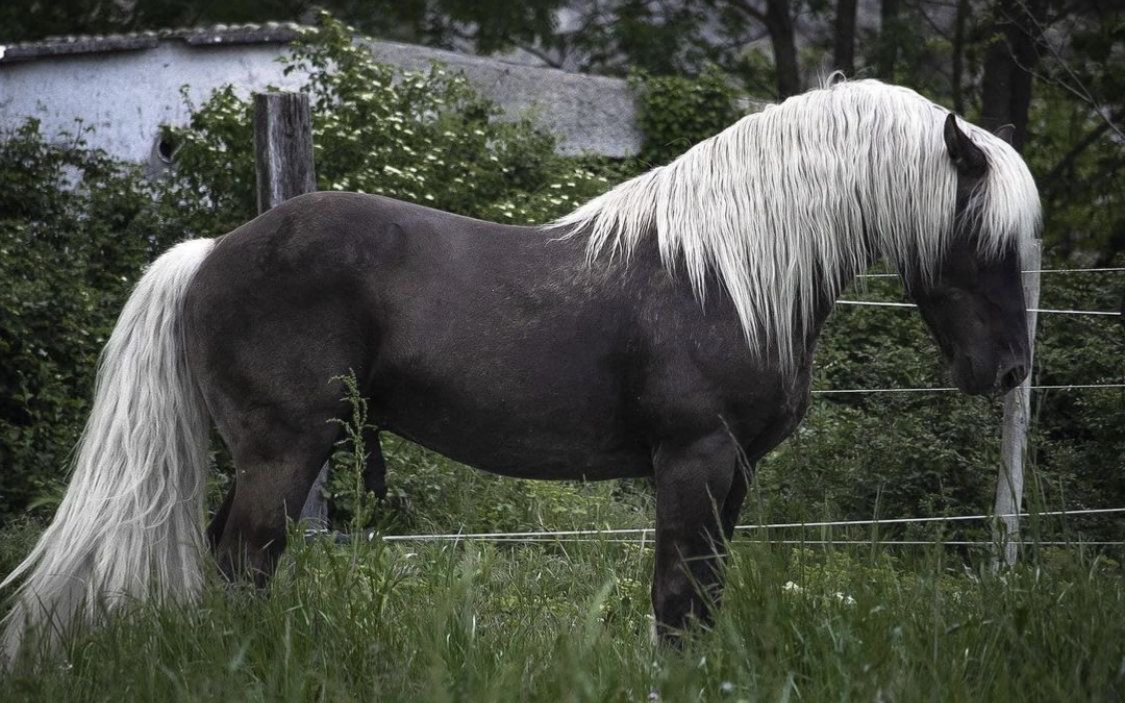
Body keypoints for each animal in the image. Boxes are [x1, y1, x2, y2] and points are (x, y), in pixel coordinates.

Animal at [0, 79, 1041, 660]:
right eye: (983, 236)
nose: (1006, 373)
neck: (726, 272)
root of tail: (210, 251)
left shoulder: (734, 471)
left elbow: (703, 599)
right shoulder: (692, 460)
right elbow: (675, 598)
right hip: (284, 453)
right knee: (241, 562)